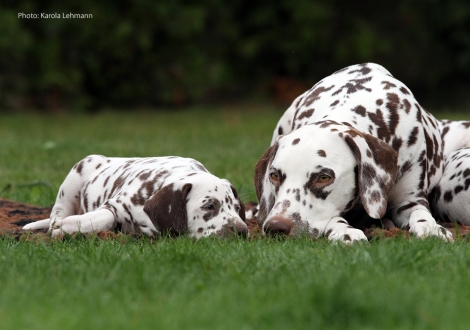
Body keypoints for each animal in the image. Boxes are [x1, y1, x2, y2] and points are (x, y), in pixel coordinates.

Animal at [23, 155, 248, 237]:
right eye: (209, 206)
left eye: (237, 208)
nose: (242, 231)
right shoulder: (116, 205)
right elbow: (103, 216)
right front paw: (69, 226)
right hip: (73, 182)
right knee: (57, 212)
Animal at [255, 62, 454, 242]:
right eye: (274, 175)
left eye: (323, 177)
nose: (276, 226)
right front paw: (345, 231)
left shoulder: (408, 200)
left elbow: (420, 214)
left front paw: (432, 228)